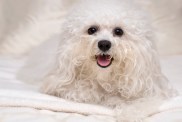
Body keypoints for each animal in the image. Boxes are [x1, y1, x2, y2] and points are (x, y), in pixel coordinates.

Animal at [18, 0, 176, 121]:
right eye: (92, 30)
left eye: (118, 31)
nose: (104, 44)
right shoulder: (63, 86)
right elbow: (87, 90)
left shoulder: (147, 90)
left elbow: (138, 104)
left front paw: (129, 114)